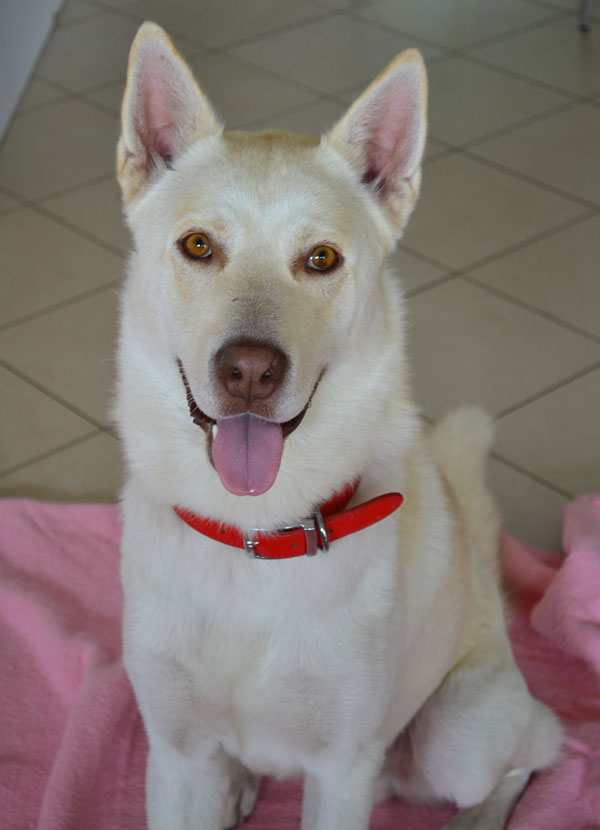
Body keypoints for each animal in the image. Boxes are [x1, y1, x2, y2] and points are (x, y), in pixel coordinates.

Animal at [116, 22, 564, 830]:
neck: (254, 539)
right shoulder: (175, 754)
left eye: (321, 258)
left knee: (537, 747)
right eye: (198, 245)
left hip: (457, 733)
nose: (250, 371)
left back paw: (481, 815)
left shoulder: (341, 768)